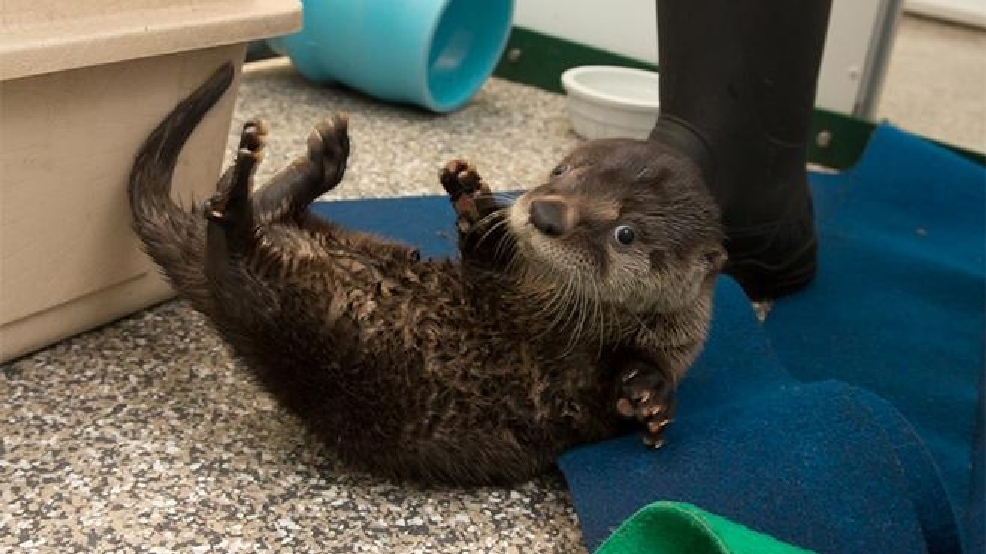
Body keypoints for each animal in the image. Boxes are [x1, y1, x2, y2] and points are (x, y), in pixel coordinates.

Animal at [128, 62, 726, 486]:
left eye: (625, 232)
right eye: (562, 171)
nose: (545, 212)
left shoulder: (614, 374)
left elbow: (631, 390)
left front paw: (649, 396)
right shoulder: (504, 278)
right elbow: (483, 256)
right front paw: (469, 193)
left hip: (283, 319)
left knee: (236, 248)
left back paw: (246, 185)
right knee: (268, 210)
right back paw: (310, 159)